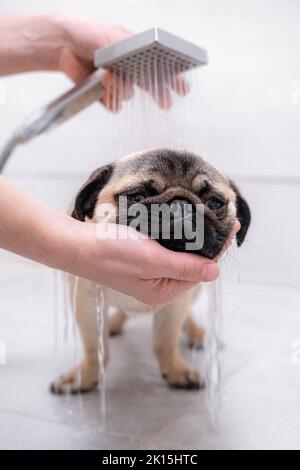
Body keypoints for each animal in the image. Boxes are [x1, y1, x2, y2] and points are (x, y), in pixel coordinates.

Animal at [50, 149, 250, 394]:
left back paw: (196, 332)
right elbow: (94, 348)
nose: (181, 205)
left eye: (214, 202)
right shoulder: (86, 301)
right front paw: (85, 376)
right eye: (136, 196)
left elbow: (166, 342)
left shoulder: (175, 305)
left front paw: (175, 370)